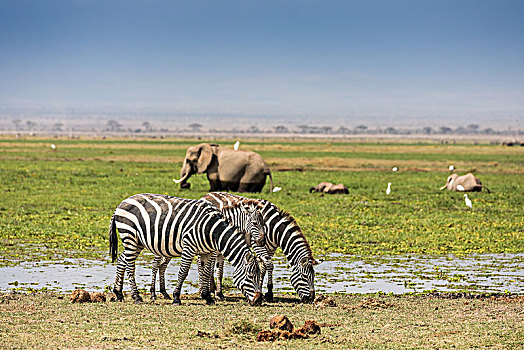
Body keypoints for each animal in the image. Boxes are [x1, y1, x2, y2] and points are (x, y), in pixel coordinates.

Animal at [111, 193, 266, 304]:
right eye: (250, 276)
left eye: (259, 276)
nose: (259, 300)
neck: (211, 230)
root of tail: (122, 202)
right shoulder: (189, 247)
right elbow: (184, 272)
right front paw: (176, 297)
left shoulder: (207, 252)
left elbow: (206, 272)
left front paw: (207, 297)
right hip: (130, 236)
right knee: (131, 266)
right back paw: (137, 296)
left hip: (137, 242)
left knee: (122, 260)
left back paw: (118, 293)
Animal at [149, 193, 318, 302]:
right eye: (304, 276)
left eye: (313, 277)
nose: (311, 298)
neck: (273, 226)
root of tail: (206, 196)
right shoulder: (257, 245)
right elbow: (268, 265)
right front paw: (268, 293)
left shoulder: (269, 248)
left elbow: (266, 266)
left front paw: (264, 291)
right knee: (157, 263)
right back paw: (155, 293)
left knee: (164, 265)